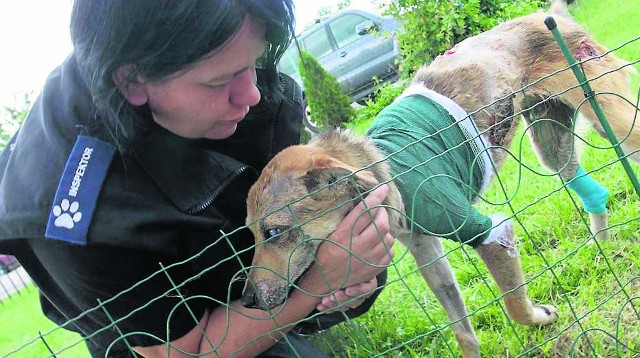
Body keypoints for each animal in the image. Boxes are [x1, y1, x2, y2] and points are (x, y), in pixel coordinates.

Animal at [242, 1, 636, 356]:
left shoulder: (490, 232)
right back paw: (602, 246)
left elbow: (514, 306)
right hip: (552, 144)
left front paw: (540, 317)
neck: (382, 168)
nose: (246, 300)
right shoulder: (427, 254)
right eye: (250, 234)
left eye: (273, 232)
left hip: (613, 120)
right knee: (594, 191)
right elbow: (462, 330)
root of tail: (549, 14)